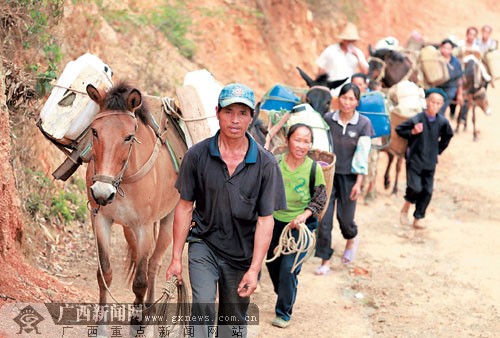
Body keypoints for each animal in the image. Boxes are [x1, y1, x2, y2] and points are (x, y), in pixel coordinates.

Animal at [86, 81, 180, 306]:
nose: (101, 193)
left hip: (169, 219)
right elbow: (105, 275)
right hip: (129, 229)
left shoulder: (144, 227)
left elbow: (140, 283)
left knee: (153, 265)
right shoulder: (100, 219)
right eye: (94, 131)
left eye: (129, 137)